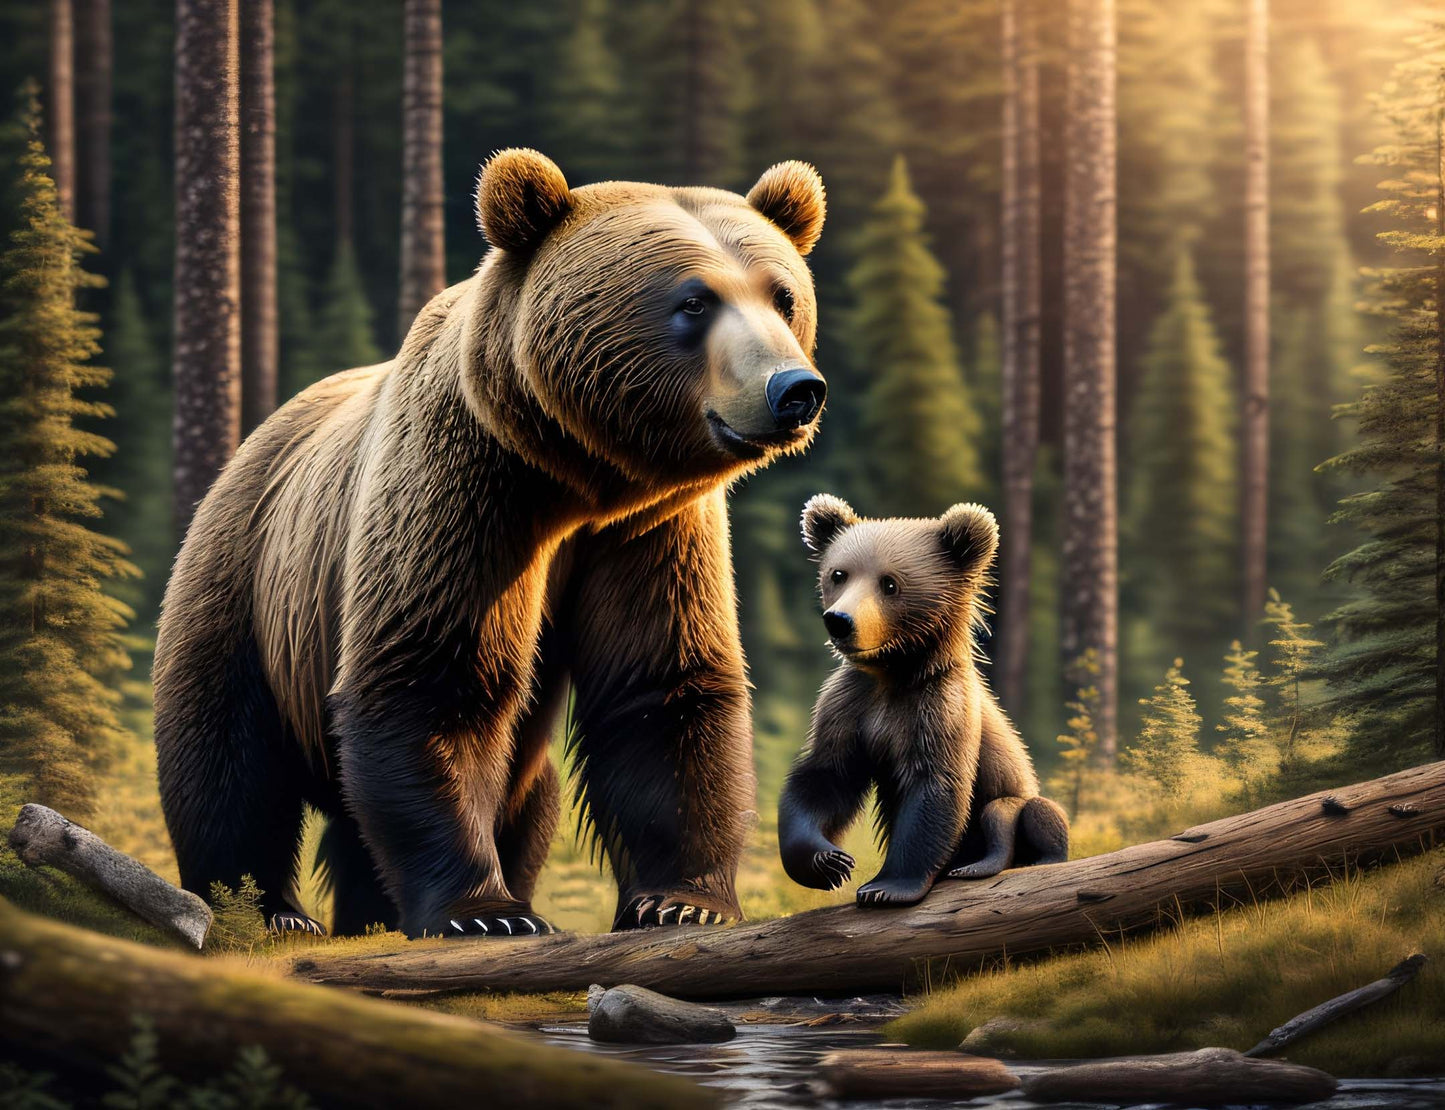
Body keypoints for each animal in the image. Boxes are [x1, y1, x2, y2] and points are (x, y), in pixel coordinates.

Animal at [153, 149, 830, 940]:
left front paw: (681, 901)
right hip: (250, 582)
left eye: (783, 297)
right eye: (694, 302)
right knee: (228, 759)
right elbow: (434, 675)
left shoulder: (650, 530)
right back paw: (267, 911)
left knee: (518, 799)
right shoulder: (467, 490)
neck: (578, 483)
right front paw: (485, 913)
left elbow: (659, 686)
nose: (793, 389)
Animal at [777, 495, 1069, 907]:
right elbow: (825, 777)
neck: (895, 674)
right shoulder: (848, 705)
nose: (840, 620)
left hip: (1017, 801)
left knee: (1029, 812)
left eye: (889, 583)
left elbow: (935, 789)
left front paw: (885, 887)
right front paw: (827, 862)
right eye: (838, 574)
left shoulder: (940, 707)